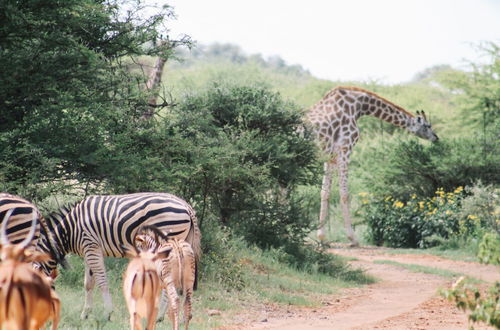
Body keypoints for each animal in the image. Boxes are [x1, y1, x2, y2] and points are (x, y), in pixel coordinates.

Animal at [35, 192, 201, 320]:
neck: (71, 229)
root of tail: (186, 206)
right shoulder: (88, 251)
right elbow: (88, 284)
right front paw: (85, 314)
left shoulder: (91, 246)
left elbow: (102, 281)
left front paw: (107, 313)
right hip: (183, 243)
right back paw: (182, 315)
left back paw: (160, 315)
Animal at [306, 86, 440, 246]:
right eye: (427, 126)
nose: (436, 138)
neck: (358, 107)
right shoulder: (344, 150)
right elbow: (344, 194)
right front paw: (352, 238)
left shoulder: (330, 156)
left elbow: (324, 193)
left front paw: (322, 237)